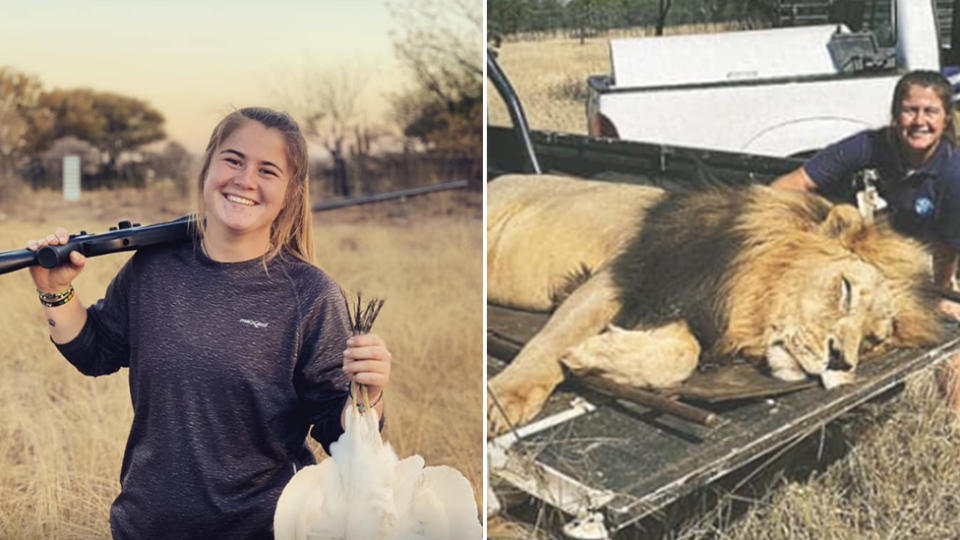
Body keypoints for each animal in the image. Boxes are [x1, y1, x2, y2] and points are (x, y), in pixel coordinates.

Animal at [492, 175, 940, 436]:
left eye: (872, 340)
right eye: (845, 289)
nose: (840, 360)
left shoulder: (692, 311)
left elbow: (682, 354)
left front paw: (597, 354)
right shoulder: (624, 275)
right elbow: (552, 341)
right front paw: (503, 399)